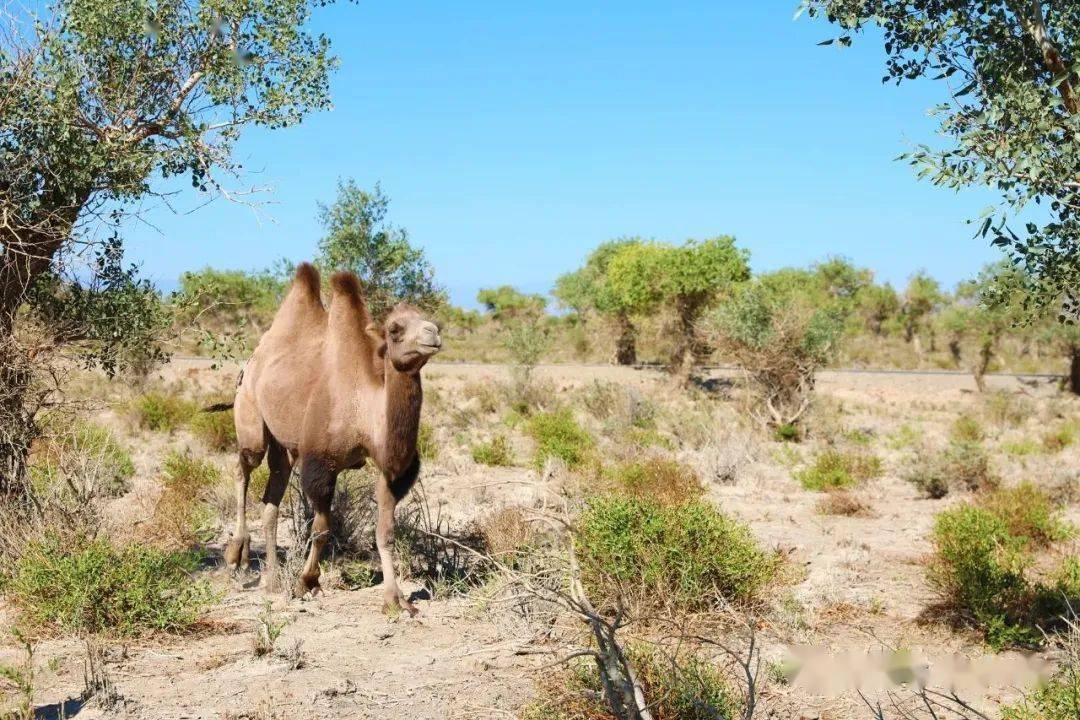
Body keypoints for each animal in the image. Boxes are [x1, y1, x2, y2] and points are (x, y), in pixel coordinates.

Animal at [223, 263, 442, 613]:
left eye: (428, 318)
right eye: (395, 328)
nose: (432, 333)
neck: (362, 407)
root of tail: (255, 357)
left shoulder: (389, 469)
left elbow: (385, 532)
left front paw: (395, 600)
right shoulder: (319, 462)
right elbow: (322, 528)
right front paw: (307, 582)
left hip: (285, 446)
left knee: (272, 499)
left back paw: (272, 581)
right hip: (250, 416)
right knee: (243, 467)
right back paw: (237, 556)